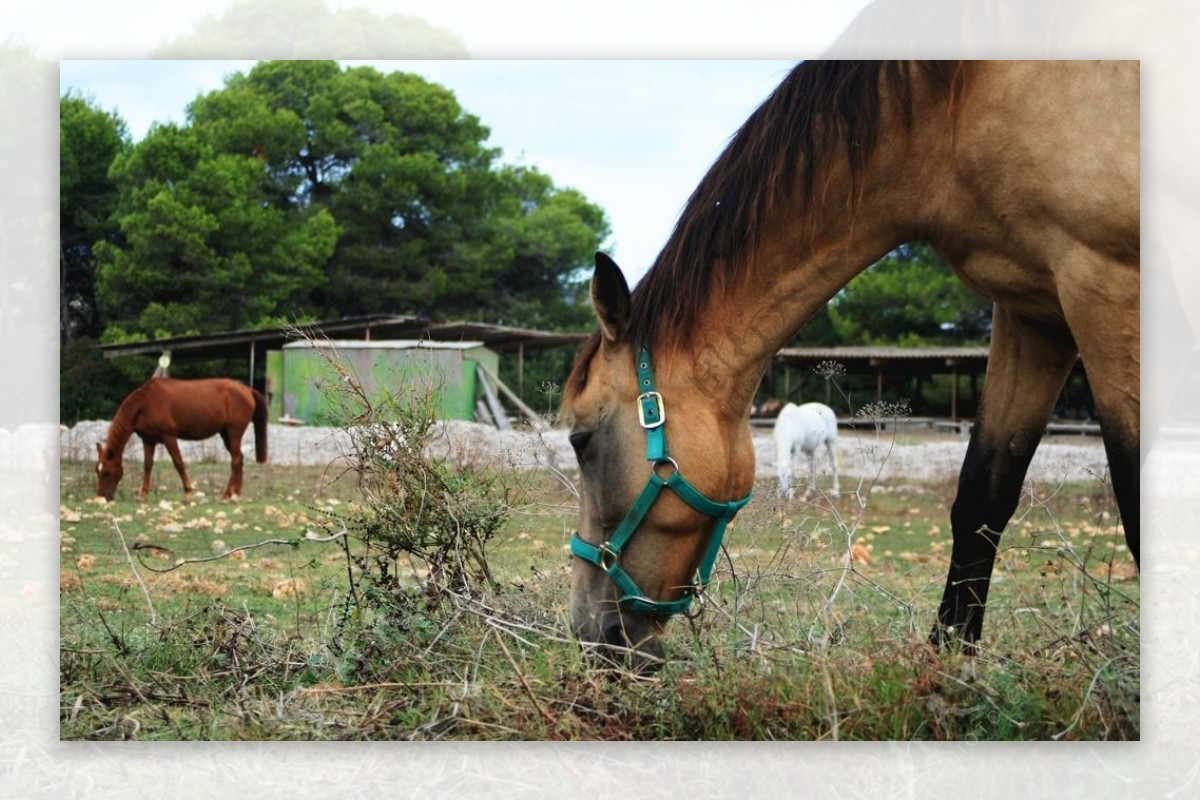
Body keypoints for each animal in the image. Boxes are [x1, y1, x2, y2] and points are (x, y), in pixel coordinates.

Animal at [96, 376, 270, 501]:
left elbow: (178, 463)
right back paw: (236, 492)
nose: (102, 496)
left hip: (234, 432)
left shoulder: (169, 437)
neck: (145, 403)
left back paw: (227, 494)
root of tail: (247, 390)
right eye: (97, 471)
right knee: (239, 458)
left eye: (108, 472)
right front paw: (143, 494)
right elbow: (147, 465)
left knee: (235, 460)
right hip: (225, 434)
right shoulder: (149, 440)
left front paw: (188, 492)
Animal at [561, 62, 1132, 666]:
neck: (952, 114)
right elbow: (982, 496)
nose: (586, 631)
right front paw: (950, 661)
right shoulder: (1031, 309)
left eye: (581, 440)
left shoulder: (1105, 283)